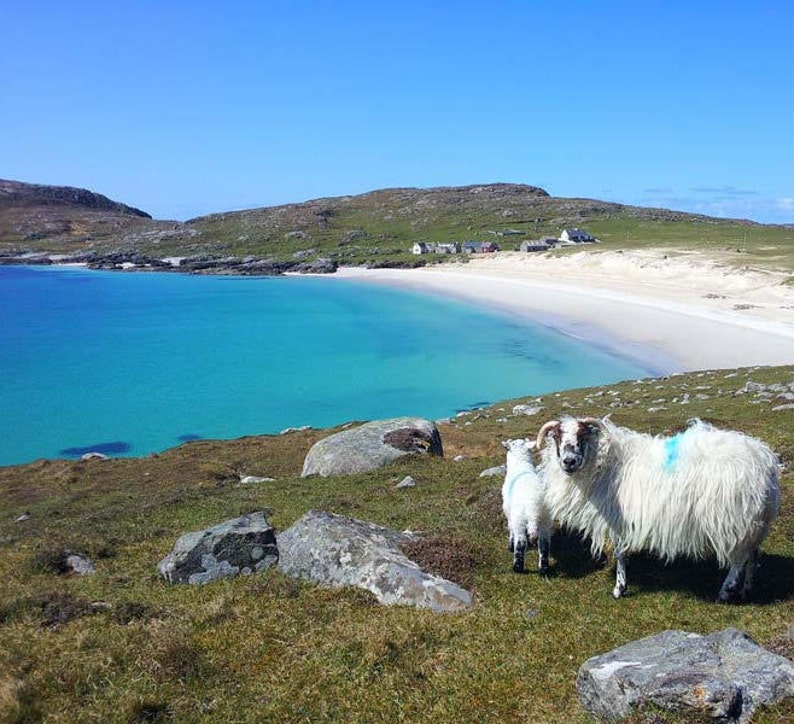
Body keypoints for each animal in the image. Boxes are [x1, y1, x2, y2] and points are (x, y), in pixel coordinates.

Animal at [502, 438, 552, 576]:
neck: (521, 463)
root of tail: (533, 507)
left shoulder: (509, 513)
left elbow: (510, 529)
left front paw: (510, 545)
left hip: (519, 518)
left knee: (520, 542)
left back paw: (517, 567)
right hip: (545, 519)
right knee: (544, 545)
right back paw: (543, 570)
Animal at [536, 416, 776, 604]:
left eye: (583, 435)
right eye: (557, 436)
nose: (569, 461)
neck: (605, 464)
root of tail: (765, 462)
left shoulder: (618, 519)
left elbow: (620, 554)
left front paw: (619, 588)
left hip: (734, 520)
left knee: (738, 561)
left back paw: (725, 592)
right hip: (752, 522)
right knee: (752, 554)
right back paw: (746, 589)